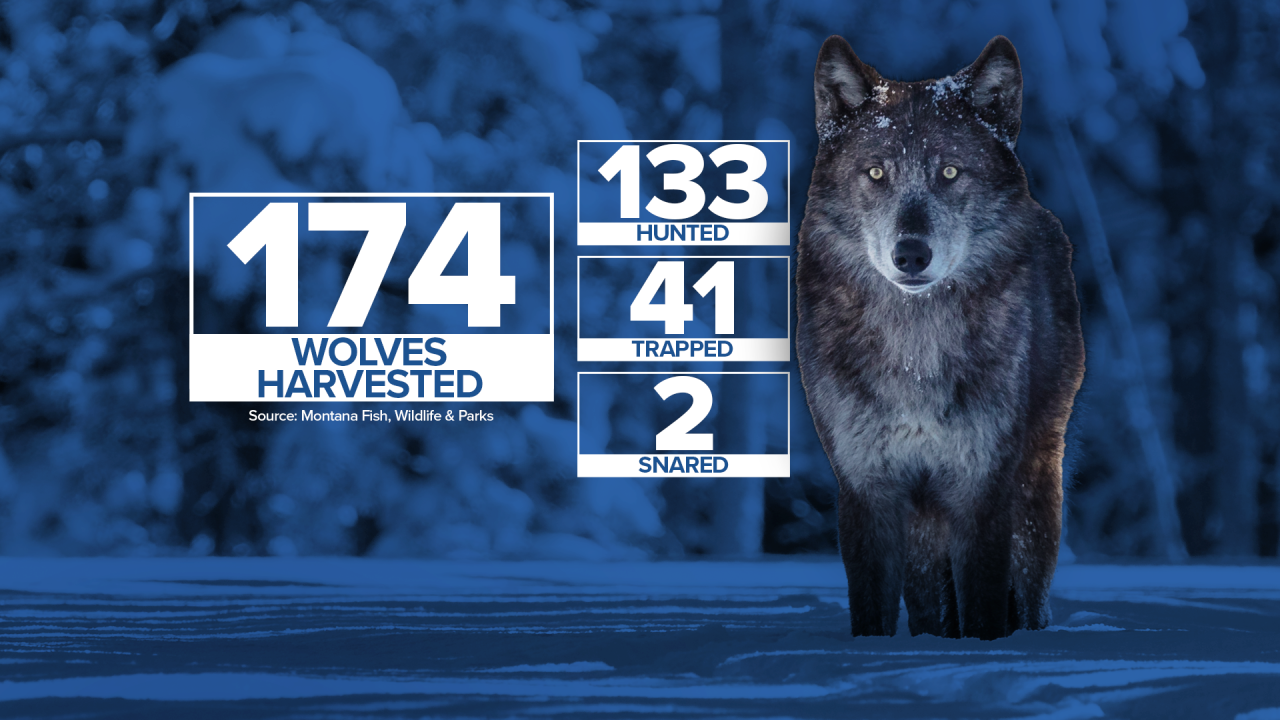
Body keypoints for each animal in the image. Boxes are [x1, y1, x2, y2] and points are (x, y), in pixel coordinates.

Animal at [795, 35, 1085, 640]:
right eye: (876, 173)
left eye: (950, 171)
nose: (911, 254)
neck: (916, 350)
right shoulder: (868, 488)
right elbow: (872, 611)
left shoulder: (982, 487)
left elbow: (984, 607)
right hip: (926, 523)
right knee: (931, 603)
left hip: (1035, 487)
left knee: (1029, 591)